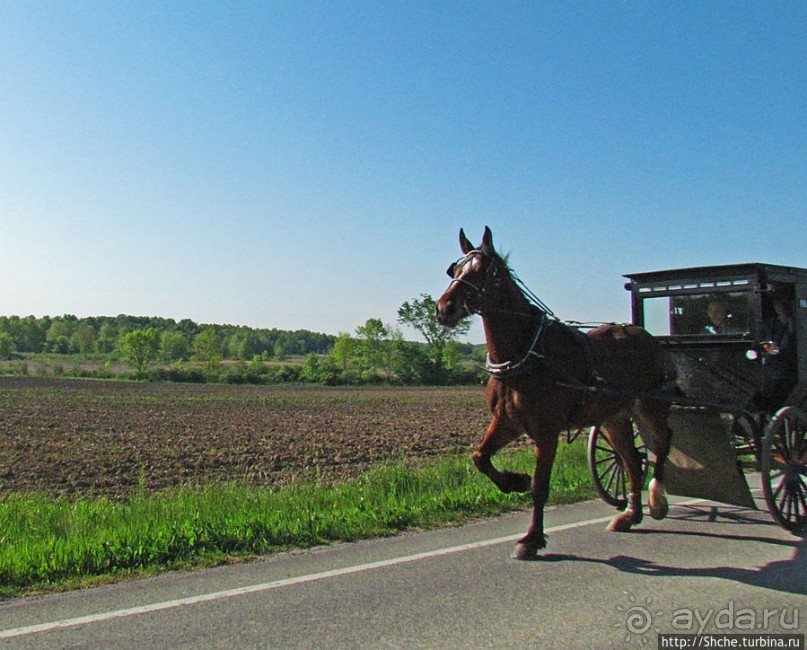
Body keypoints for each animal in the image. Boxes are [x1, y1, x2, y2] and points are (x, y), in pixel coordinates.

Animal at [436, 227, 676, 556]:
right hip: (613, 418)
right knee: (630, 460)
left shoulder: (546, 431)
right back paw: (630, 515)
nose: (444, 308)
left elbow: (541, 486)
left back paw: (657, 499)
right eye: (456, 269)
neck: (526, 353)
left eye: (486, 271)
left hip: (650, 406)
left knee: (663, 444)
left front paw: (533, 538)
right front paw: (514, 481)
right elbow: (480, 457)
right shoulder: (507, 422)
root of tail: (645, 335)